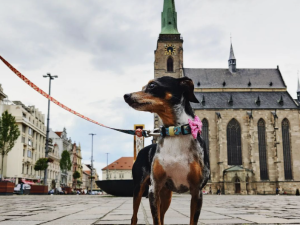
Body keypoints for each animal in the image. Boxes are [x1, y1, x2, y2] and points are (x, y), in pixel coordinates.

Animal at [124, 76, 211, 225]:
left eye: (152, 85)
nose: (126, 95)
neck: (174, 131)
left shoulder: (197, 192)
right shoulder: (154, 189)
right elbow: (156, 220)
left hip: (166, 196)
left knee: (162, 215)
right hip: (139, 188)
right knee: (134, 216)